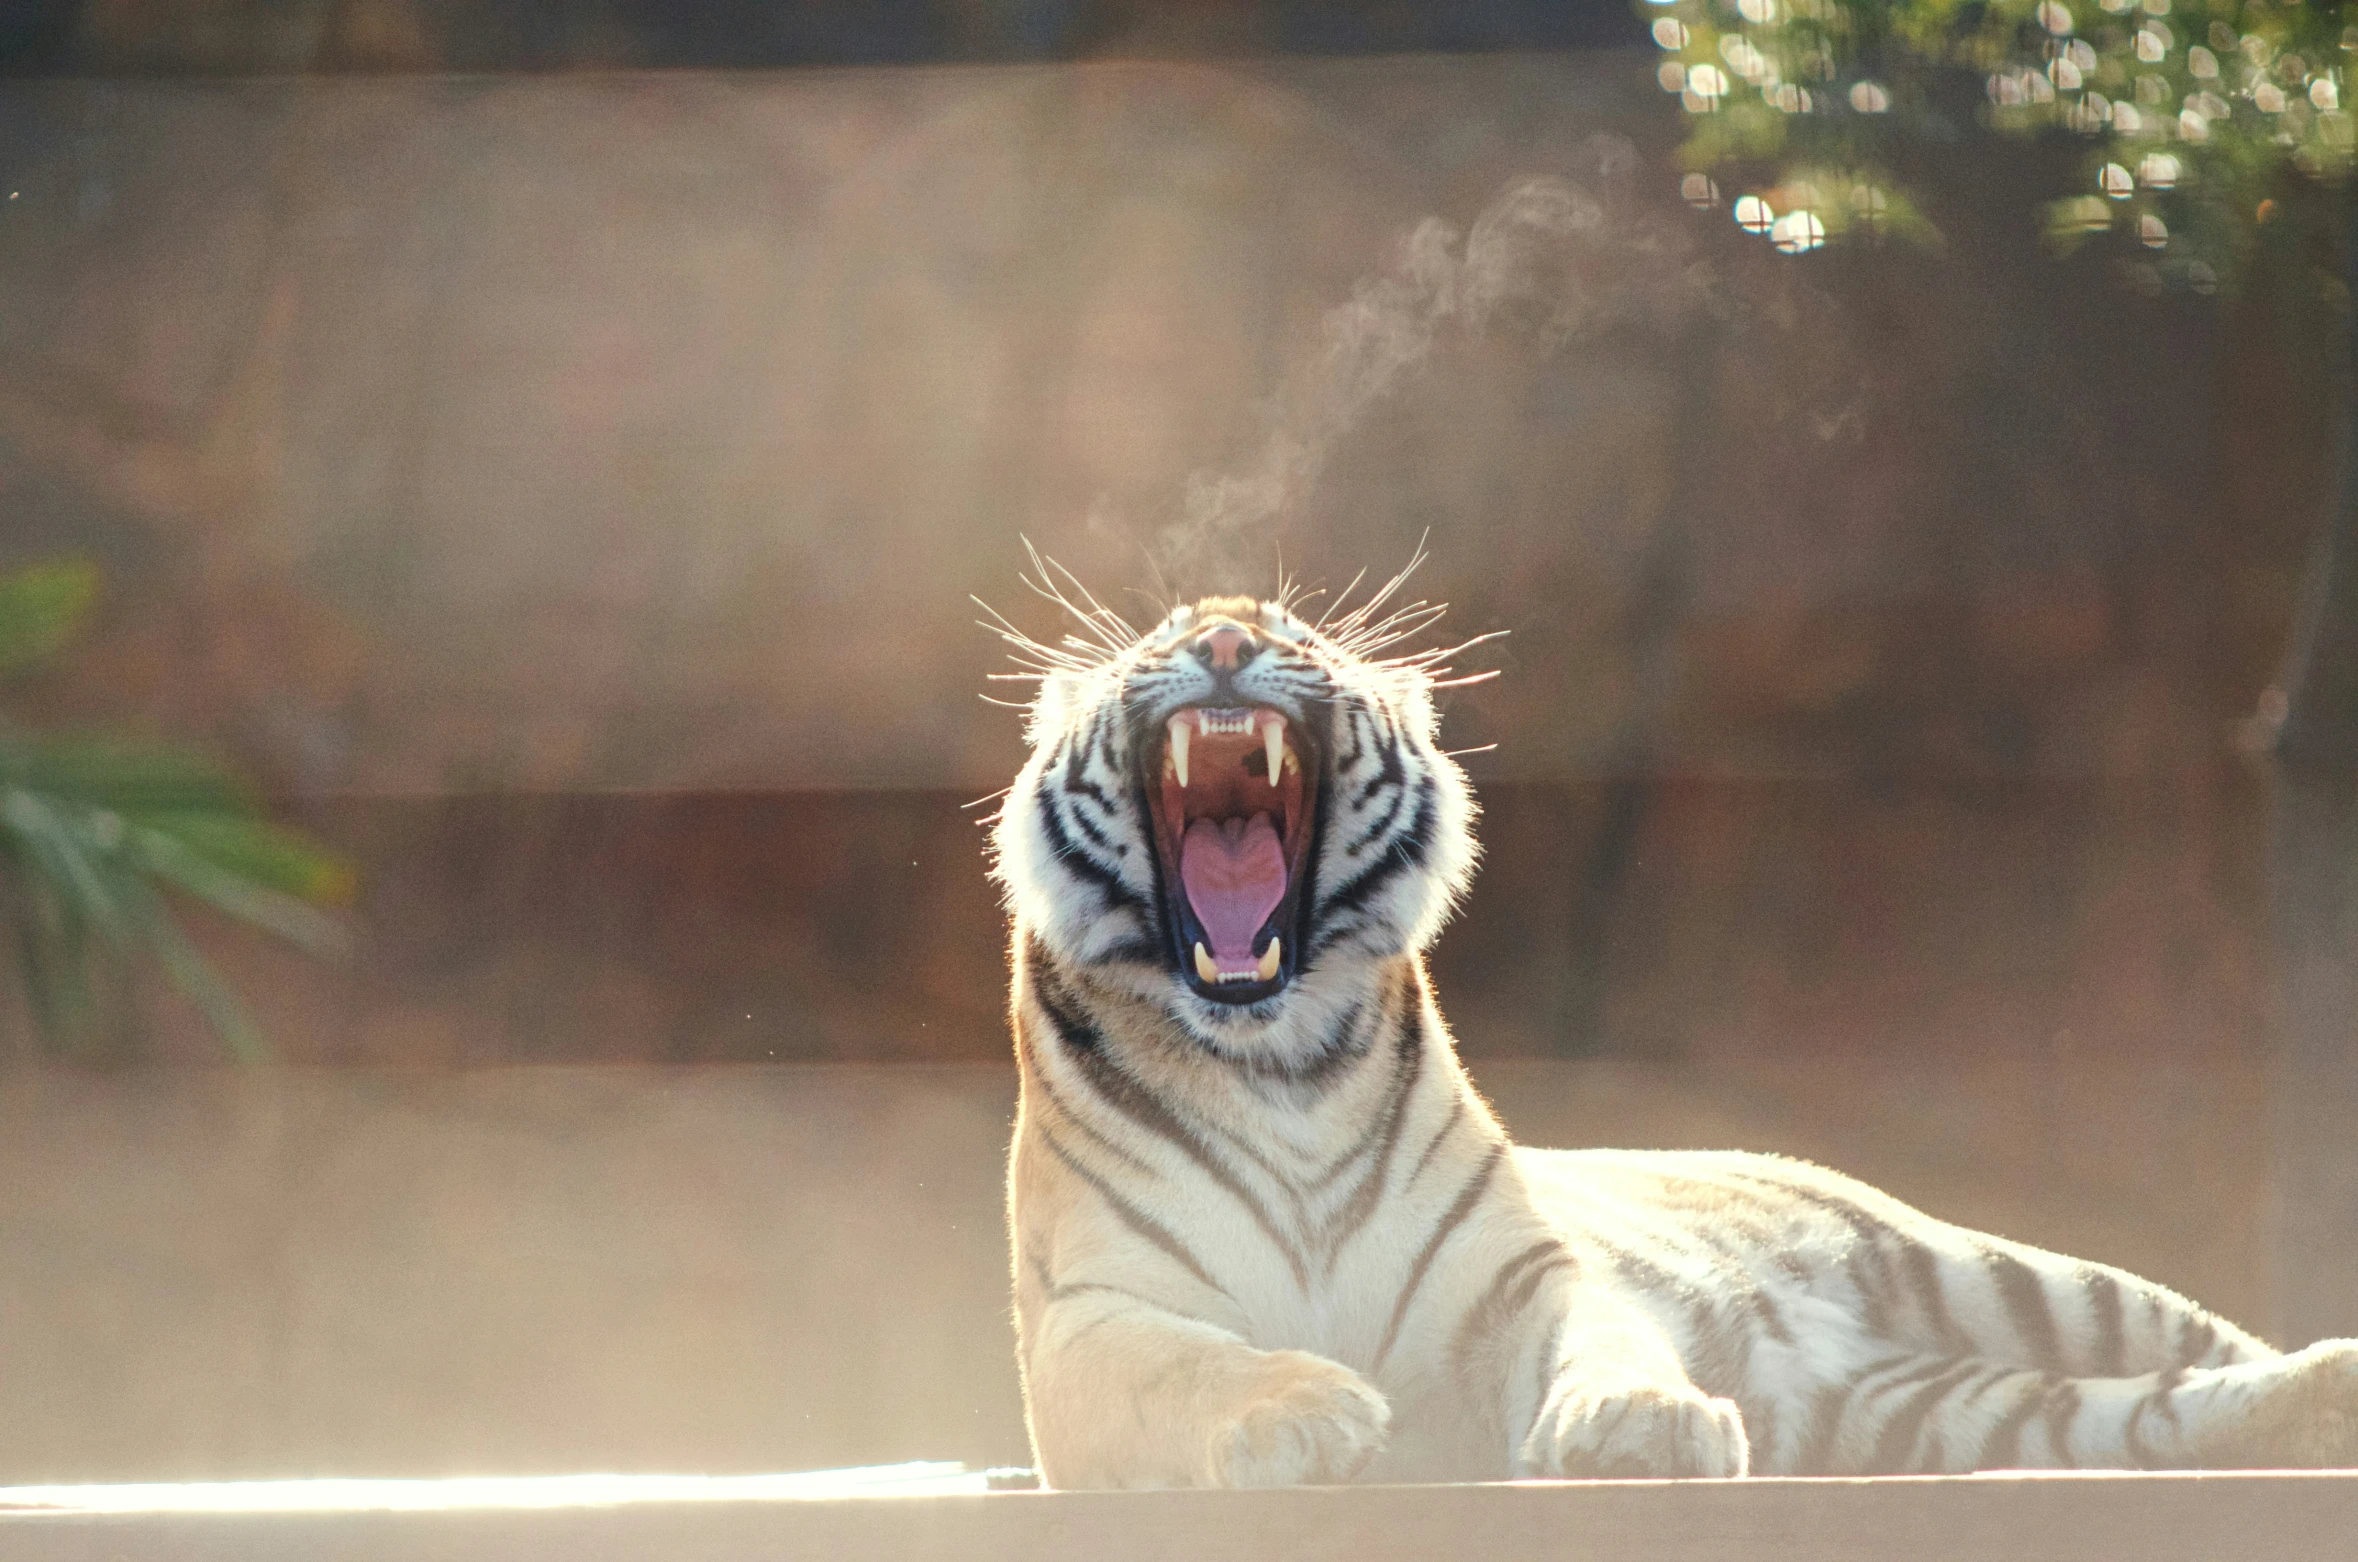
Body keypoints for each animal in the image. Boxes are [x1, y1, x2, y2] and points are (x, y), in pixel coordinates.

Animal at [985, 573, 2358, 1491]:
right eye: (1156, 645)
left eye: (1300, 639)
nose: (1223, 639)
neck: (1282, 1063)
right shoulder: (1091, 1314)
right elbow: (1188, 1364)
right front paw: (1298, 1412)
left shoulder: (1519, 1272)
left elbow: (1604, 1330)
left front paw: (1642, 1421)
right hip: (1942, 1410)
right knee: (2142, 1416)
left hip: (2000, 1271)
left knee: (2201, 1348)